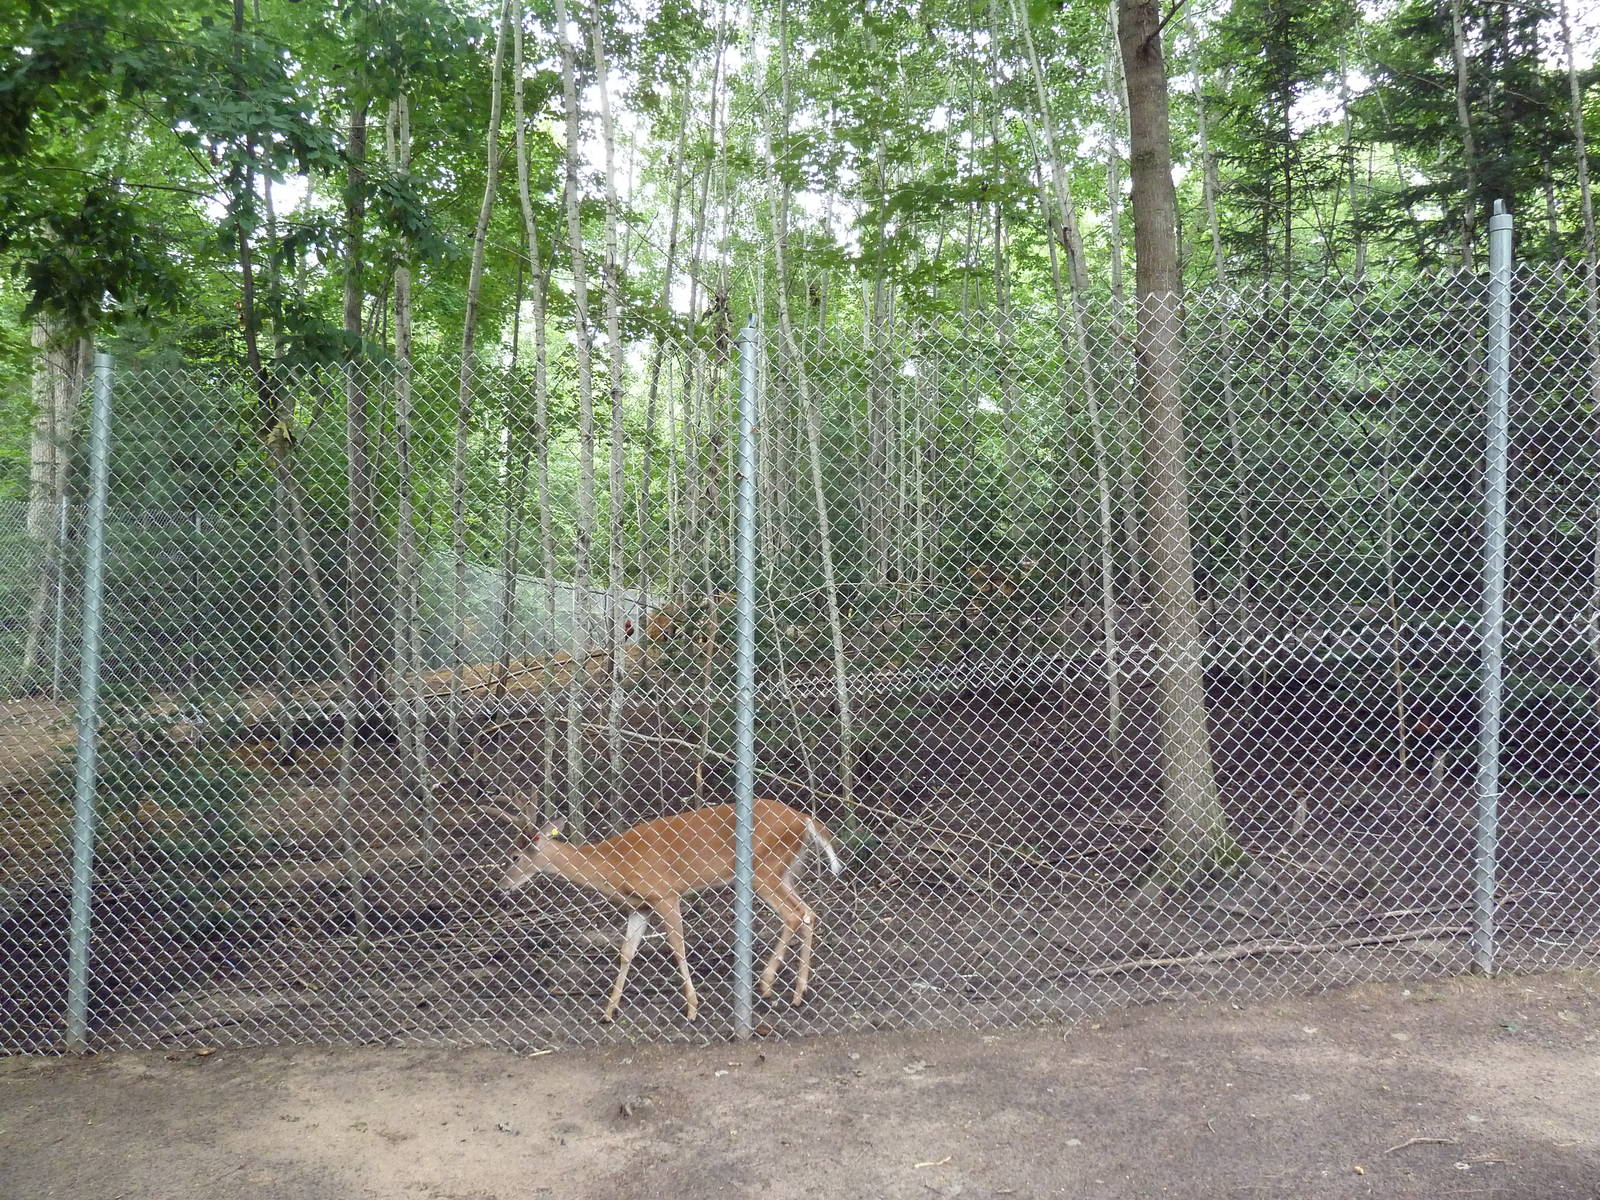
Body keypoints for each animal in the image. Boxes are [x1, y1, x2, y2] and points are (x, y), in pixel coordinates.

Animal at [494, 798, 842, 1022]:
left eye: (514, 856)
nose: (501, 886)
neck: (616, 863)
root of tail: (804, 819)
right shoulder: (641, 906)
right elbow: (626, 953)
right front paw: (608, 1012)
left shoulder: (665, 893)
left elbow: (677, 947)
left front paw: (692, 1008)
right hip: (784, 871)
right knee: (808, 912)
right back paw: (795, 991)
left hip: (764, 869)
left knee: (795, 914)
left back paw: (771, 986)